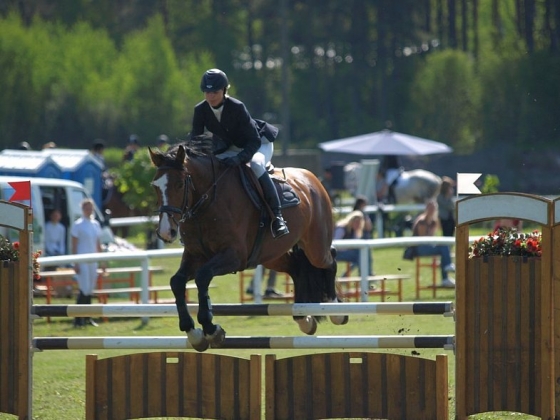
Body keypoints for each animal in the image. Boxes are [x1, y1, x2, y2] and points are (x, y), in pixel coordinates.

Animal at [148, 140, 346, 352]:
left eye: (179, 184)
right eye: (155, 186)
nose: (166, 232)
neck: (206, 204)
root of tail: (311, 178)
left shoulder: (234, 256)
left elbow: (202, 277)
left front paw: (211, 329)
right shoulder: (196, 256)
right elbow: (177, 282)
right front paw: (193, 333)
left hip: (315, 246)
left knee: (330, 261)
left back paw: (336, 311)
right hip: (271, 255)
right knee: (296, 267)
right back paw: (304, 319)